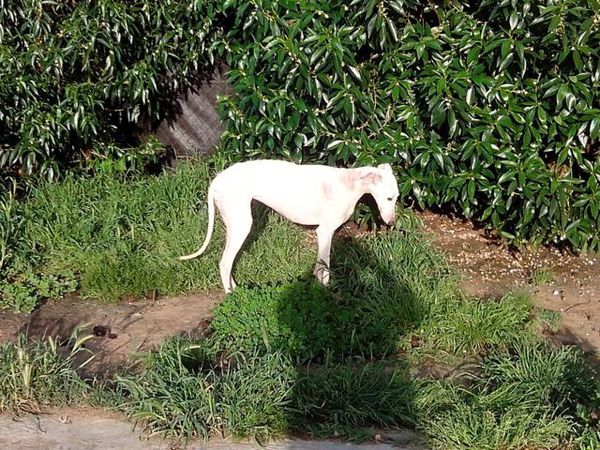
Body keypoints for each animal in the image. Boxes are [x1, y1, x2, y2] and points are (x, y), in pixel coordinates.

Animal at [180, 160, 400, 294]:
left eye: (397, 197)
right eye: (389, 198)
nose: (391, 223)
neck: (349, 183)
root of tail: (216, 181)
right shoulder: (325, 232)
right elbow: (323, 270)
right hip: (241, 224)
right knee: (224, 263)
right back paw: (230, 296)